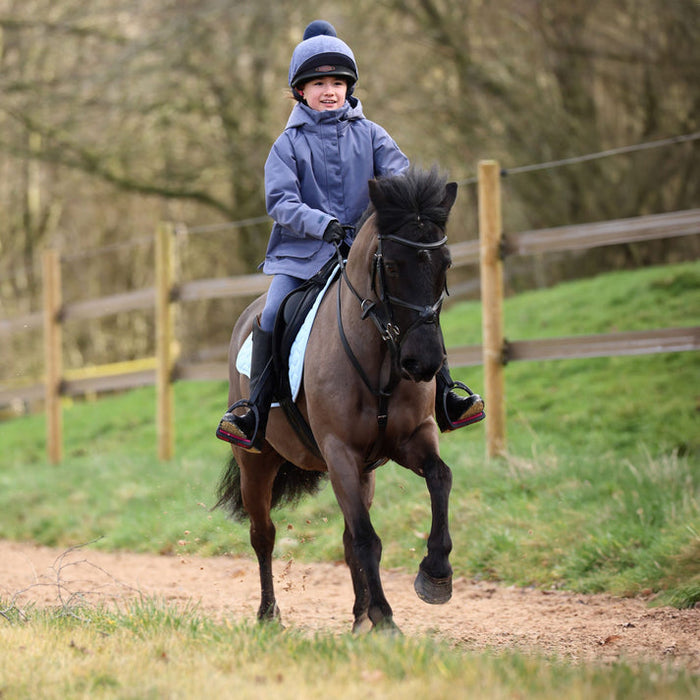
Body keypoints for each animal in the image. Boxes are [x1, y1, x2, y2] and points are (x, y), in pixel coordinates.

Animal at [219, 167, 460, 632]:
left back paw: (359, 616)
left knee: (348, 536)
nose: (424, 361)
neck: (381, 358)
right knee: (264, 536)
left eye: (446, 263)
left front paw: (435, 575)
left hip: (363, 473)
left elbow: (440, 477)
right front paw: (385, 618)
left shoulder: (411, 440)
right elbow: (366, 538)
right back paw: (269, 615)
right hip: (257, 463)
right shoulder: (339, 453)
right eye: (391, 265)